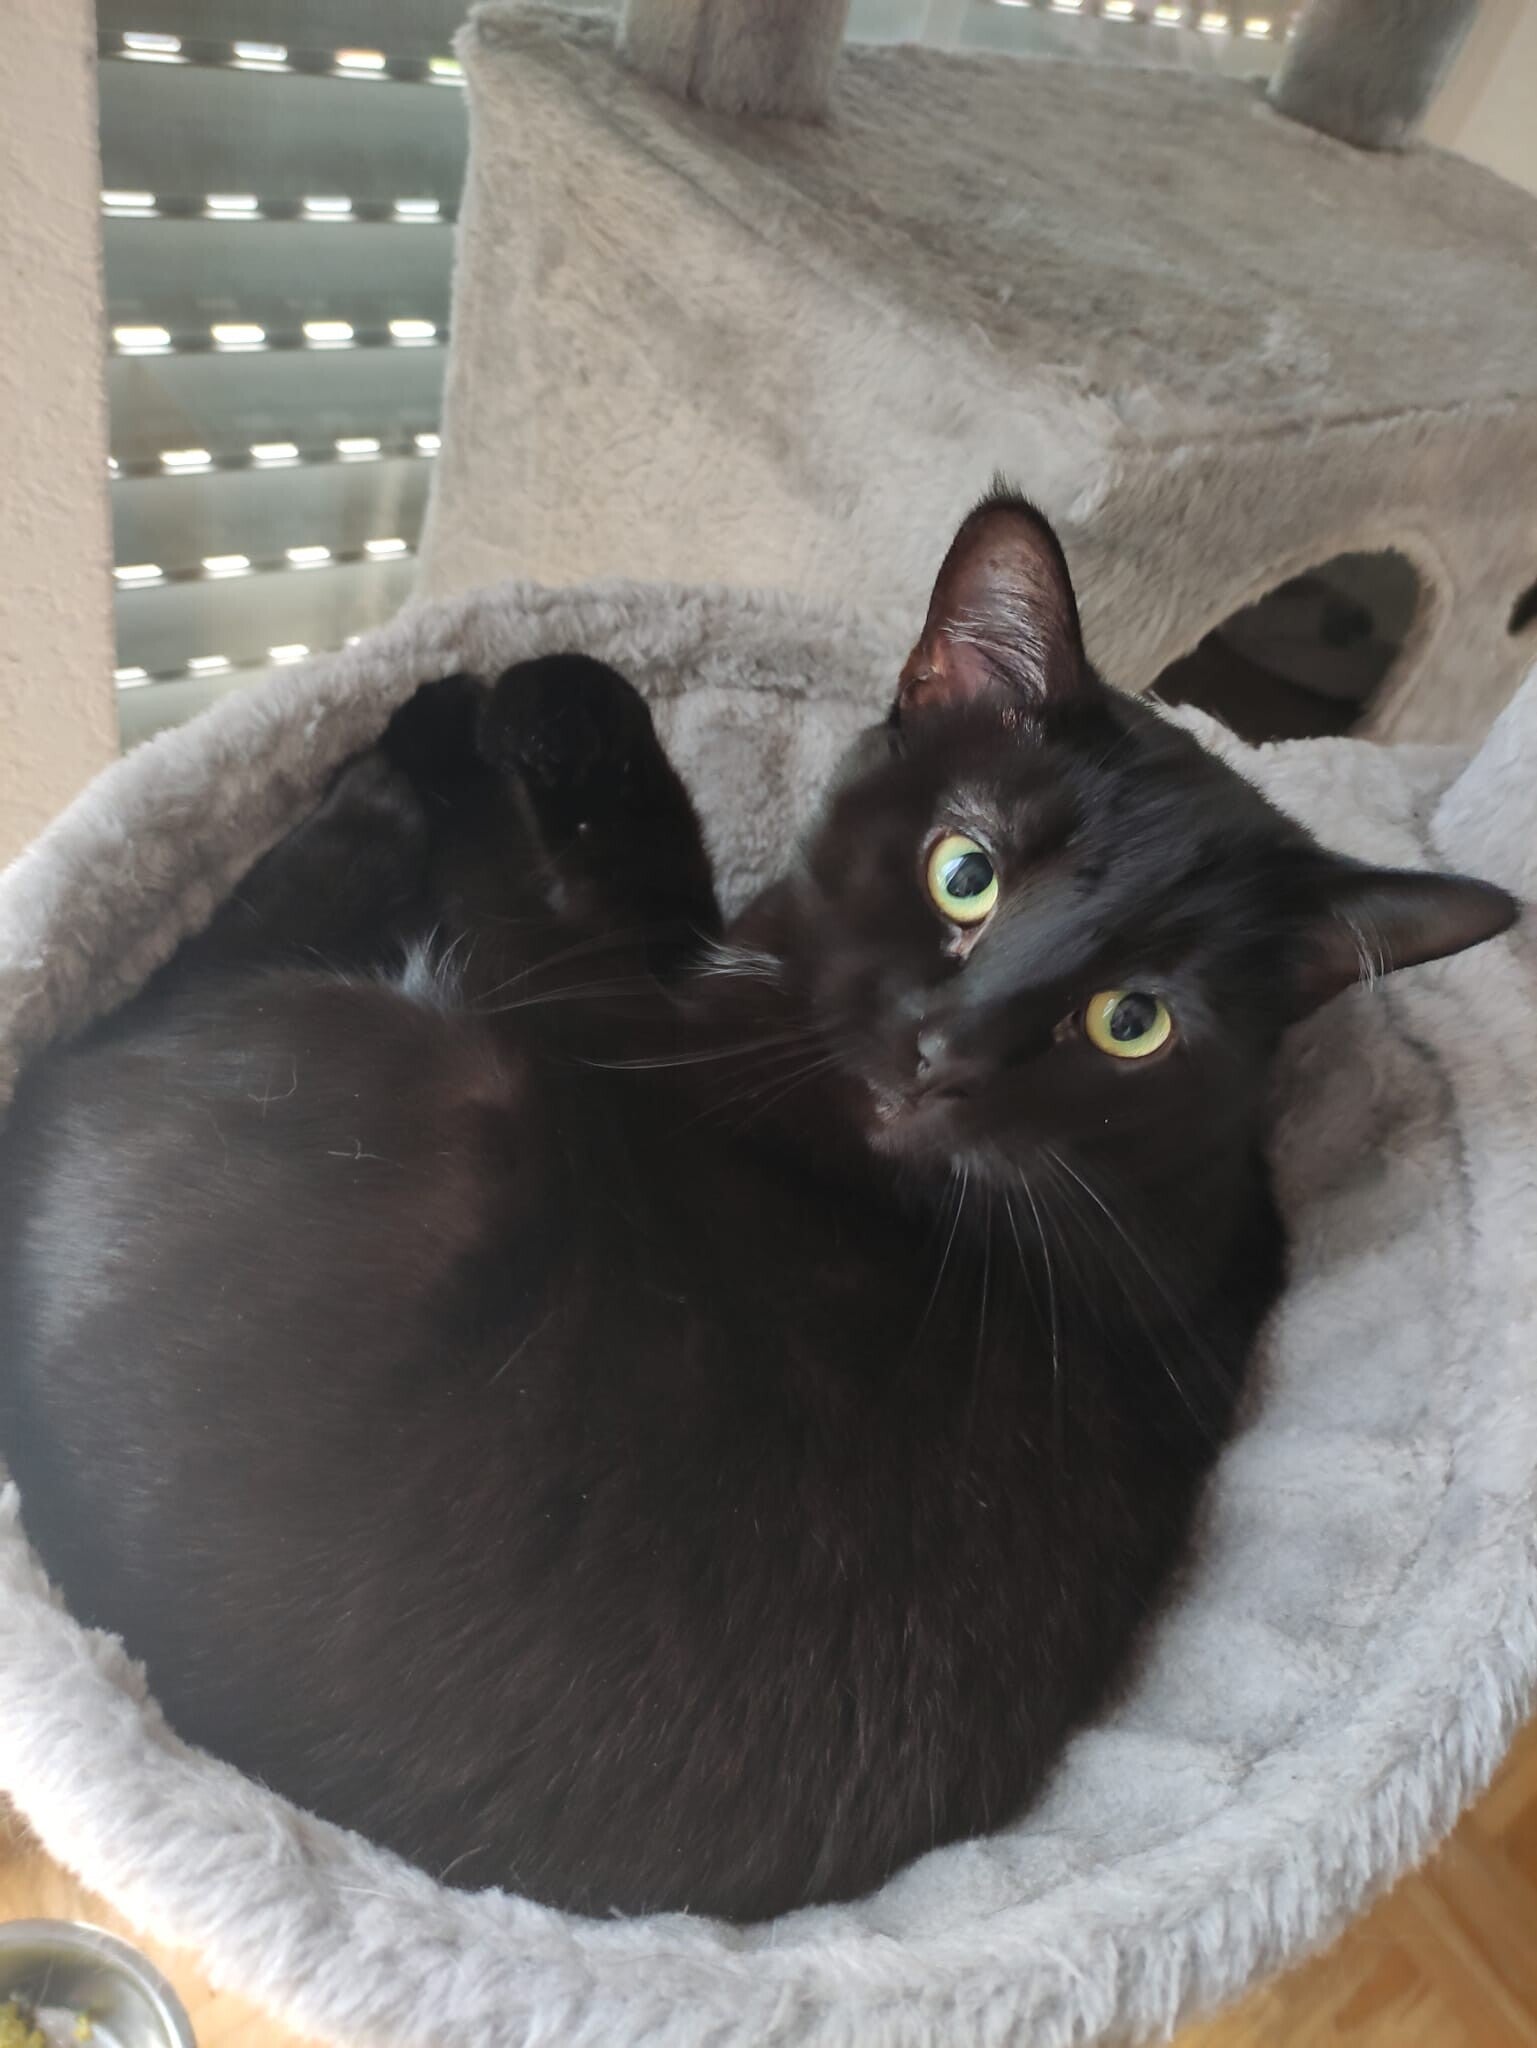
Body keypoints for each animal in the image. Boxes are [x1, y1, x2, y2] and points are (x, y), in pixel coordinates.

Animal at [0, 494, 1516, 1922]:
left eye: (1131, 1020)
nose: (945, 1052)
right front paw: (535, 704)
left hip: (436, 1072)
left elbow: (585, 870)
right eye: (963, 871)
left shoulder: (583, 992)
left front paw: (515, 702)